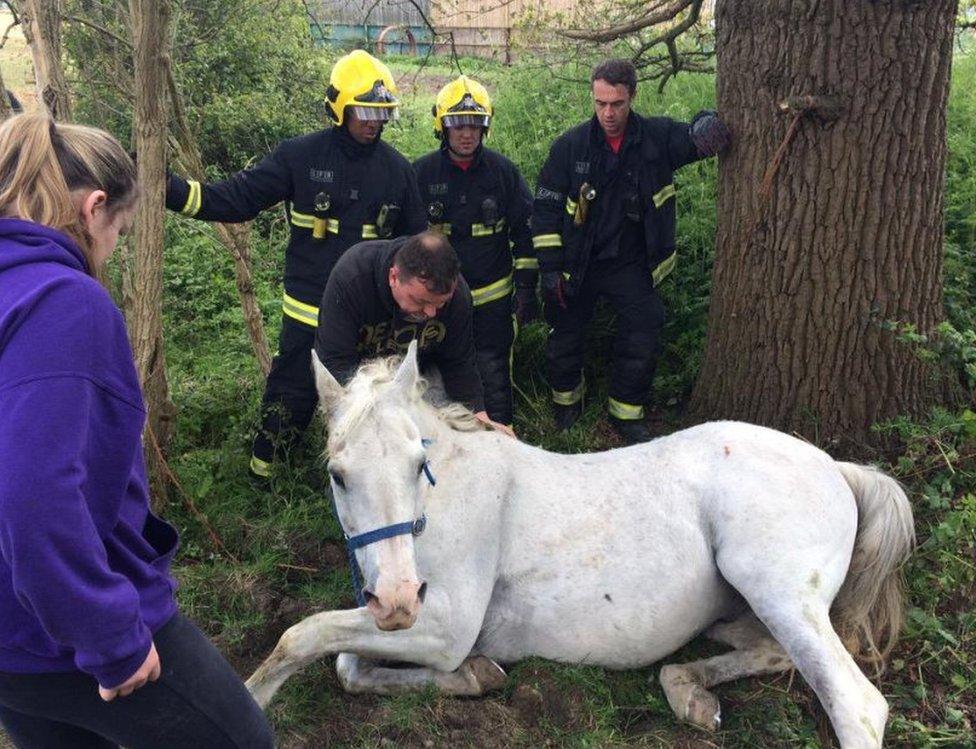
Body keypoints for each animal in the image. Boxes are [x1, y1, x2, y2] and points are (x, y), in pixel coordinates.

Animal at [244, 342, 916, 744]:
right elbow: (347, 664)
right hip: (757, 610)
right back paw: (690, 692)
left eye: (418, 465)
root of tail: (839, 468)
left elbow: (301, 637)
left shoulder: (444, 627)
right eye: (338, 474)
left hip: (778, 593)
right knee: (768, 653)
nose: (398, 600)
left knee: (855, 704)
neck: (445, 502)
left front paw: (252, 697)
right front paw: (478, 676)